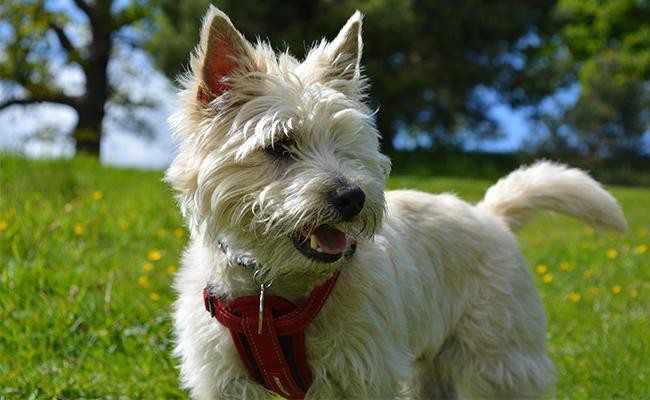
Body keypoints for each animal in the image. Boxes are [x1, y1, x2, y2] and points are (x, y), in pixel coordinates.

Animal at [165, 5, 624, 396]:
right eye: (279, 145)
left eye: (346, 142)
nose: (352, 197)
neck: (272, 293)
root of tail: (489, 215)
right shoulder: (225, 380)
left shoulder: (364, 372)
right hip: (433, 366)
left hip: (500, 358)